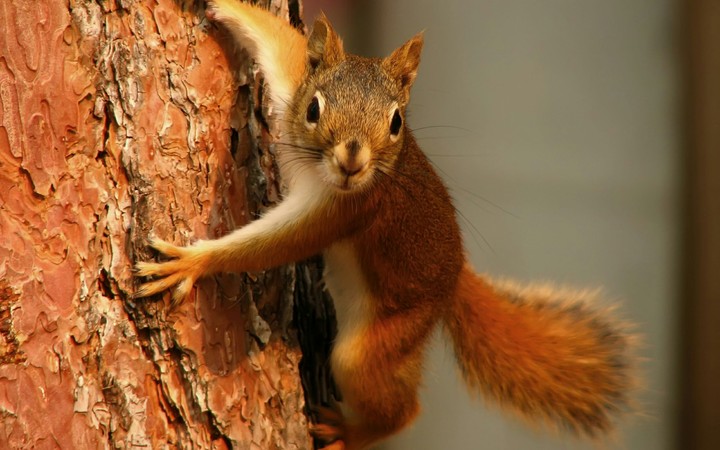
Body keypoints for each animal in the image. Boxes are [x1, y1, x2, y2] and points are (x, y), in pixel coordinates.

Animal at [135, 1, 637, 449]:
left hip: (383, 341)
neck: (318, 170)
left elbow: (276, 244)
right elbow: (282, 44)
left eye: (396, 122)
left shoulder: (347, 209)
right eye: (314, 109)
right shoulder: (291, 87)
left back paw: (350, 433)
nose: (352, 161)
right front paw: (221, 6)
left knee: (399, 408)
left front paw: (193, 262)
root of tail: (454, 278)